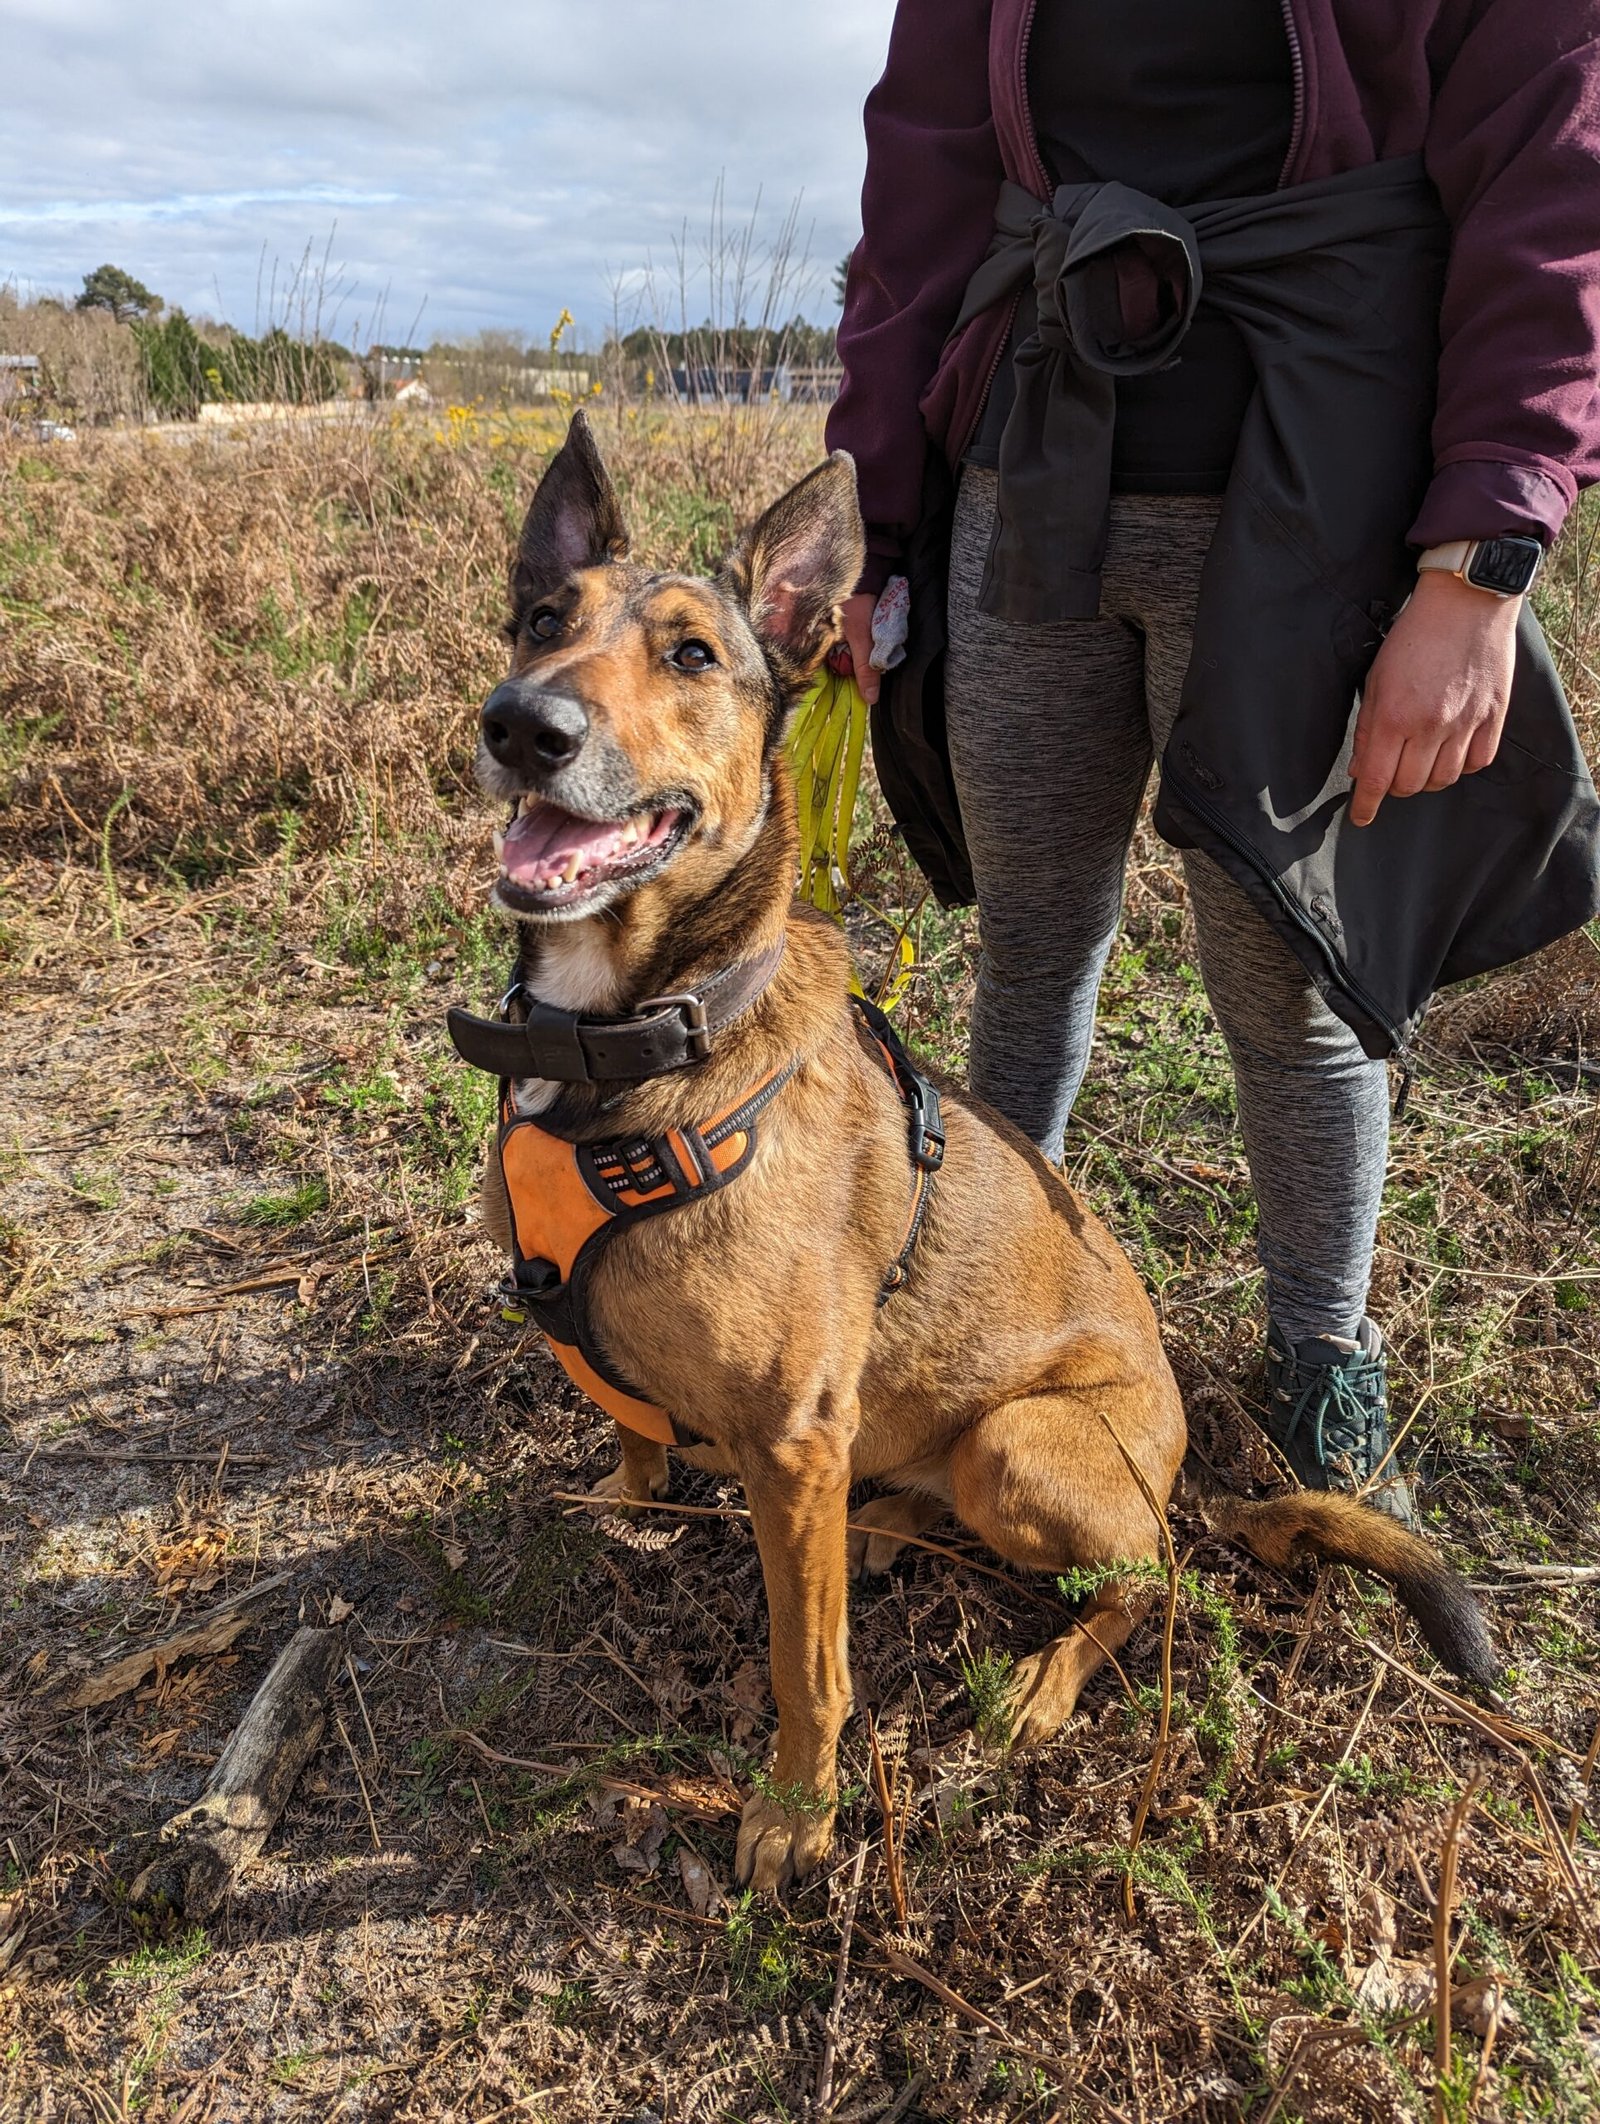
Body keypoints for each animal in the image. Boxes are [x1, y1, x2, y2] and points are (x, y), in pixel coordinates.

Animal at [454, 409, 1495, 1894]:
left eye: (693, 655)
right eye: (543, 620)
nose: (522, 724)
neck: (632, 1039)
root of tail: (1184, 1476)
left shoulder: (791, 1439)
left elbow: (807, 1664)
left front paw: (797, 1809)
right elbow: (634, 1428)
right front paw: (627, 1491)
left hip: (1020, 1447)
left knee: (1149, 1582)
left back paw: (1044, 1677)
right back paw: (891, 1524)